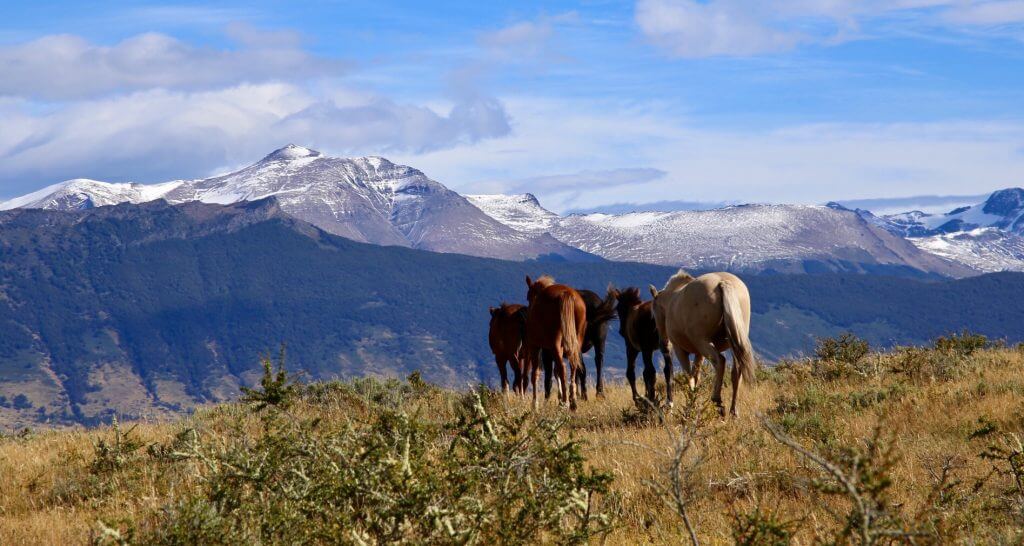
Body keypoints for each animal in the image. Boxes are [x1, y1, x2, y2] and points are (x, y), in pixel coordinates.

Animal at [524, 276, 589, 409]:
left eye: (528, 296)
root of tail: (566, 293)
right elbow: (555, 372)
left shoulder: (536, 347)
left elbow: (536, 374)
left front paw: (535, 404)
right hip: (576, 342)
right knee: (573, 365)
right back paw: (572, 400)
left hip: (554, 345)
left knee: (562, 367)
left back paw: (565, 402)